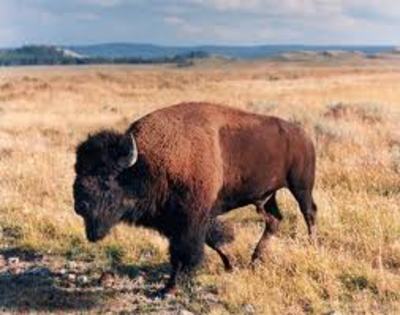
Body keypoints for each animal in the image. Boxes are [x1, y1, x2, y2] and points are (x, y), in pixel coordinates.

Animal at [73, 103, 318, 296]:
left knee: (309, 213)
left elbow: (184, 251)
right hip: (265, 197)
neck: (145, 165)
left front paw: (170, 288)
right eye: (78, 171)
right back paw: (255, 259)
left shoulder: (190, 219)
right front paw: (230, 265)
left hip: (301, 186)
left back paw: (311, 245)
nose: (79, 205)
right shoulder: (182, 220)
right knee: (274, 220)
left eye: (106, 178)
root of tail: (303, 135)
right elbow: (208, 242)